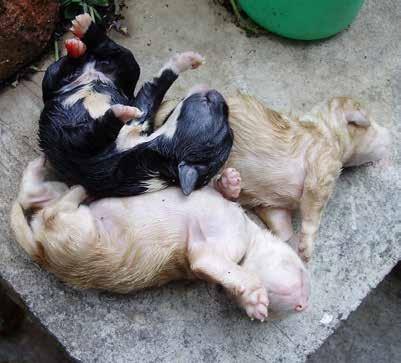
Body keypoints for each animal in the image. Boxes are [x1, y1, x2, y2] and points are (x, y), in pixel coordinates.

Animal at [10, 158, 310, 322]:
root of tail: (41, 252)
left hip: (79, 229)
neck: (249, 238)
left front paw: (253, 299)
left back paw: (79, 188)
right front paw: (231, 181)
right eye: (302, 270)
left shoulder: (209, 256)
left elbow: (230, 272)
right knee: (36, 199)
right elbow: (222, 190)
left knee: (45, 206)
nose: (303, 305)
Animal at [39, 14, 233, 198]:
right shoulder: (142, 112)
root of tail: (92, 71)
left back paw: (79, 35)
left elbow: (99, 130)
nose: (219, 95)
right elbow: (159, 83)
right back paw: (79, 42)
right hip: (121, 70)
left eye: (206, 101)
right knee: (111, 54)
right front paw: (187, 60)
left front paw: (122, 111)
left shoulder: (87, 152)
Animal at [154, 96, 390, 262]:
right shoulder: (320, 174)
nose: (392, 135)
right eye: (373, 123)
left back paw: (230, 185)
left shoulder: (275, 208)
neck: (326, 131)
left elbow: (283, 229)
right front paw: (306, 248)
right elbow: (313, 214)